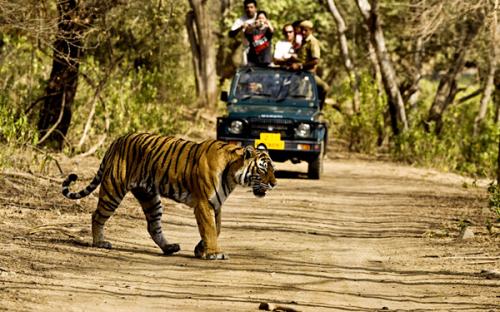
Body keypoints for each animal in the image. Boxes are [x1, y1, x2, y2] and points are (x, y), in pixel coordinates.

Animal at [61, 133, 278, 260]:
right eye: (263, 169)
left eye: (273, 169)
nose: (275, 184)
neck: (232, 174)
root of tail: (117, 140)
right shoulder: (204, 203)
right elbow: (209, 229)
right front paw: (214, 253)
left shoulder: (216, 205)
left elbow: (216, 229)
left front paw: (201, 249)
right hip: (114, 189)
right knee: (97, 215)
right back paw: (100, 242)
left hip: (150, 197)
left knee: (153, 226)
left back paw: (169, 247)